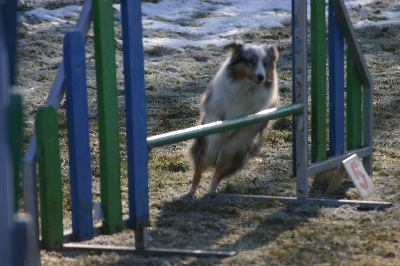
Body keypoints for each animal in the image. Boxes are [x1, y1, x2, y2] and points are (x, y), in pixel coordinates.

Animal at [188, 41, 280, 195]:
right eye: (251, 61)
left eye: (265, 63)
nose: (261, 77)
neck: (246, 88)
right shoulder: (215, 110)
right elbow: (215, 133)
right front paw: (215, 146)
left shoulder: (250, 125)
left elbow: (234, 142)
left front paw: (224, 151)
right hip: (201, 148)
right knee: (199, 170)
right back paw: (192, 190)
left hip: (237, 158)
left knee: (218, 174)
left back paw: (212, 191)